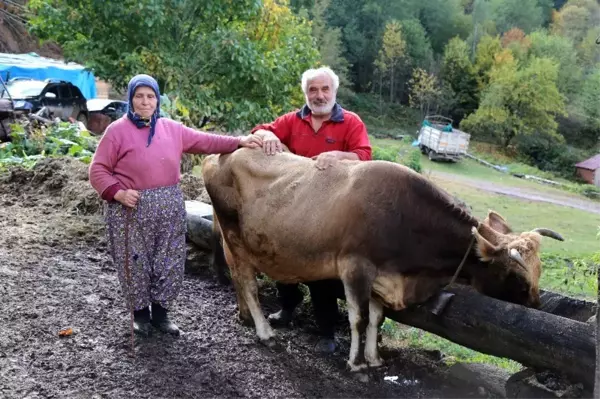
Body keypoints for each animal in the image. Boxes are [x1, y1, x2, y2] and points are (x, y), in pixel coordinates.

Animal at [202, 148, 564, 374]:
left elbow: (377, 318)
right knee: (246, 280)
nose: (537, 306)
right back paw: (264, 331)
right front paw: (356, 364)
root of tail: (222, 153)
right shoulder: (355, 267)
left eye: (540, 271)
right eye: (518, 278)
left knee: (239, 279)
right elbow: (359, 319)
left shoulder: (384, 277)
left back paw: (245, 317)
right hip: (235, 239)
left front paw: (374, 358)